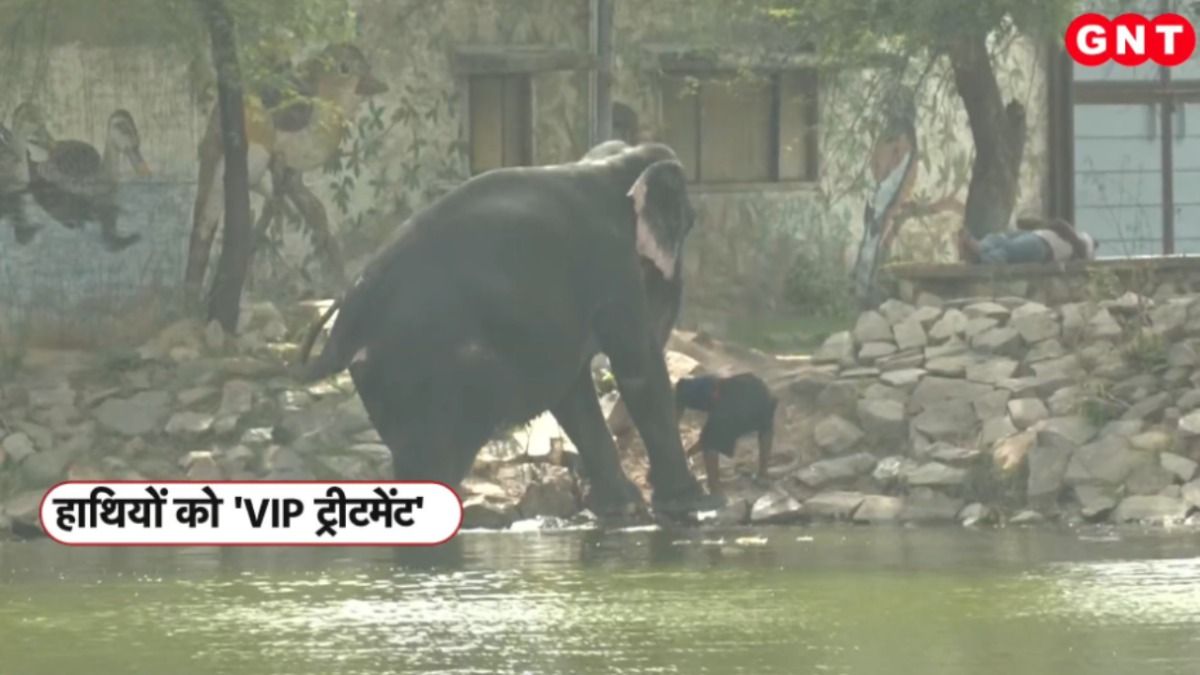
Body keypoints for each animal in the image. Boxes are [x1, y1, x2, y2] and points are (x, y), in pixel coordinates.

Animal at [297, 141, 720, 519]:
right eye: (688, 223)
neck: (611, 163)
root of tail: (350, 309)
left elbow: (573, 391)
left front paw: (624, 509)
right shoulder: (610, 263)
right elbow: (637, 369)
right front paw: (691, 504)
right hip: (428, 370)